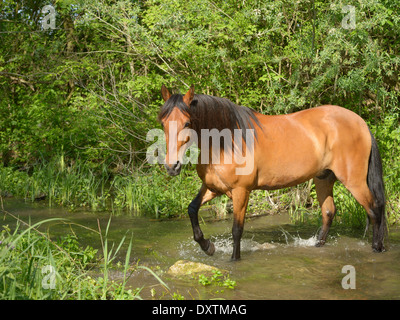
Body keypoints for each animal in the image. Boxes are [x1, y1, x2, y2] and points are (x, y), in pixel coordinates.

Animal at [158, 85, 386, 260]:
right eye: (163, 122)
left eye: (187, 123)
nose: (172, 166)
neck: (225, 142)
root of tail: (361, 123)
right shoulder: (213, 187)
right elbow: (192, 209)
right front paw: (208, 246)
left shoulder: (241, 191)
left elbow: (237, 230)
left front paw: (234, 260)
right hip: (324, 178)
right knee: (329, 212)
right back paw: (318, 246)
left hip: (354, 181)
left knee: (374, 209)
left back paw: (377, 248)